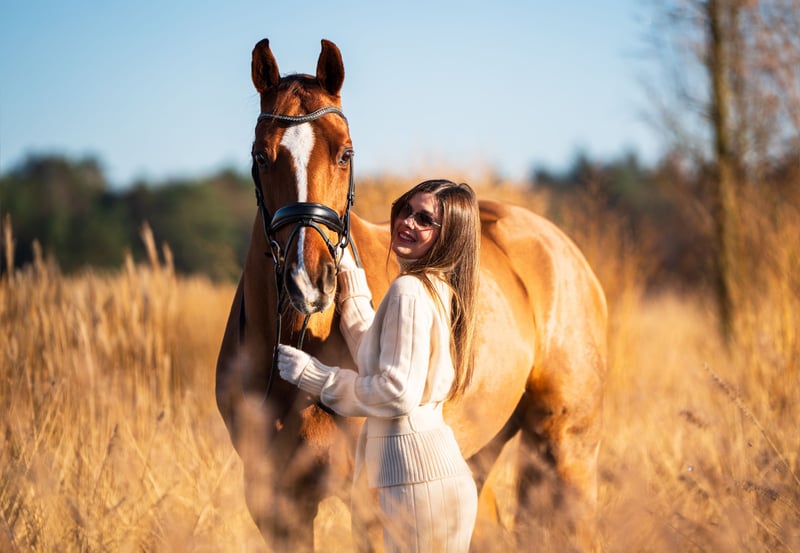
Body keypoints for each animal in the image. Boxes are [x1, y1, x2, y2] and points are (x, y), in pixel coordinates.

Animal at [215, 38, 607, 552]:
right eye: (261, 156)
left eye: (345, 153)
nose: (309, 281)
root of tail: (560, 248)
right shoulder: (279, 509)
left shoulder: (371, 508)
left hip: (566, 449)